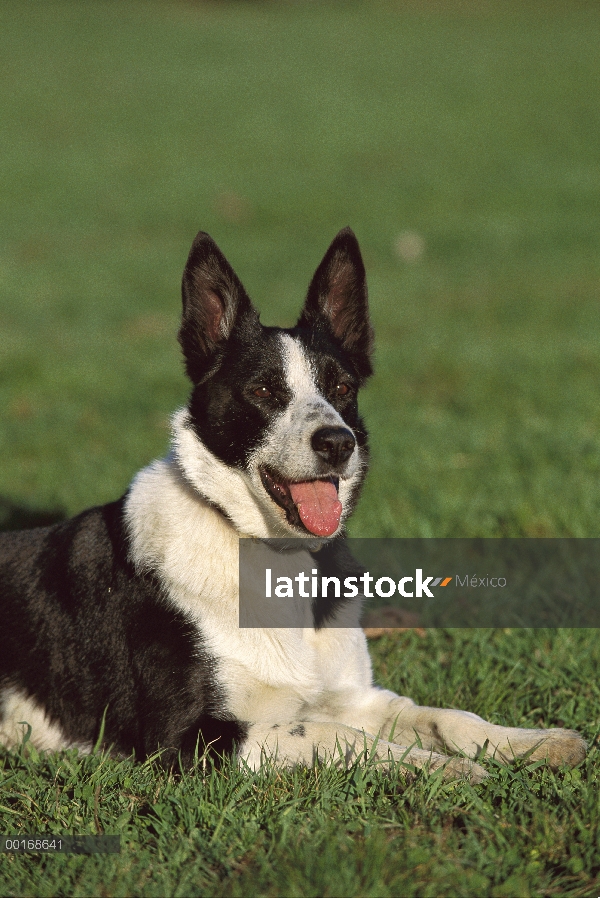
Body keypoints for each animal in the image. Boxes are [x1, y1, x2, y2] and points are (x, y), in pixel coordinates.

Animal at [0, 228, 584, 780]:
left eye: (343, 387)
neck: (266, 549)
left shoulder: (355, 698)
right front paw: (440, 770)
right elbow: (335, 735)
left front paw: (534, 743)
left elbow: (444, 717)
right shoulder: (188, 738)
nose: (337, 442)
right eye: (262, 391)